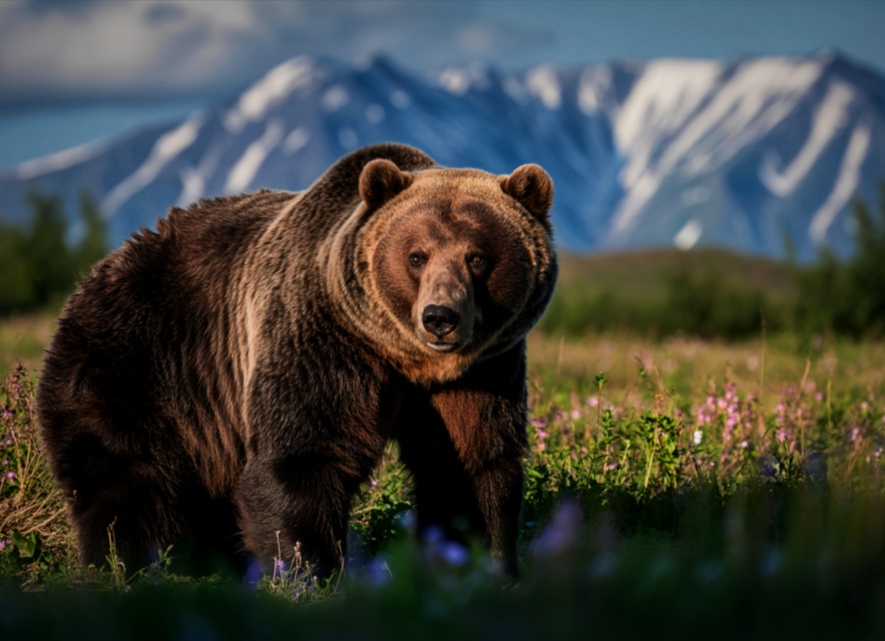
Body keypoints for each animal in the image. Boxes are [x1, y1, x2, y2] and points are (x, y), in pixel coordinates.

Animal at [36, 143, 558, 579]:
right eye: (416, 256)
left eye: (477, 257)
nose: (440, 317)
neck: (405, 359)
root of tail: (98, 272)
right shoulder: (321, 337)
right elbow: (300, 459)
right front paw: (314, 573)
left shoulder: (483, 369)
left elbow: (472, 464)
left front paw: (483, 565)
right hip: (133, 366)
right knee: (128, 480)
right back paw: (128, 567)